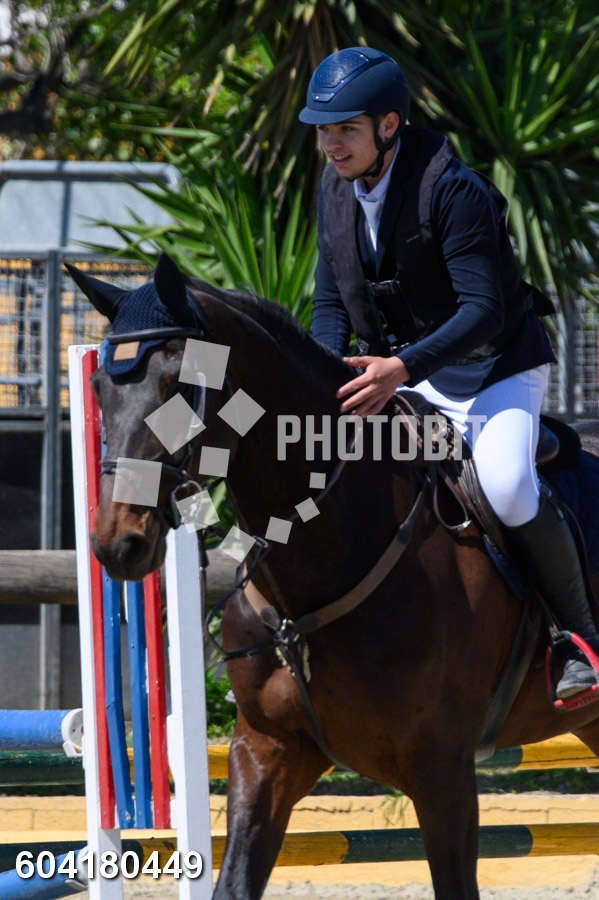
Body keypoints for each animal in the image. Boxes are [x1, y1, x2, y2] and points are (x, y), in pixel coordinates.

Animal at [68, 252, 599, 900]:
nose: (117, 543)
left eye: (180, 384)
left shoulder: (443, 771)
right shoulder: (267, 753)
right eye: (99, 387)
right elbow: (235, 880)